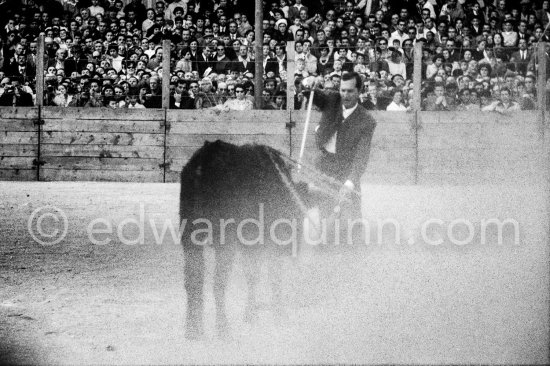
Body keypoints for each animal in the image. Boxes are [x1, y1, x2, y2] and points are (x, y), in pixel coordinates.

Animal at [179, 139, 326, 338]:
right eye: (297, 215)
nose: (292, 249)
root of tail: (201, 167)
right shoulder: (266, 241)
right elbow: (271, 275)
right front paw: (277, 314)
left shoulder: (251, 244)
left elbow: (252, 274)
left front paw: (251, 315)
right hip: (225, 240)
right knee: (218, 282)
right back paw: (223, 329)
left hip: (190, 237)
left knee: (193, 280)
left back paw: (193, 330)